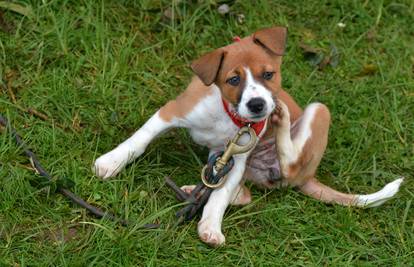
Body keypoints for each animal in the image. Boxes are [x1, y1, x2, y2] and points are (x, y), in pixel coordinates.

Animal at [92, 27, 402, 247]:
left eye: (269, 74)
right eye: (233, 80)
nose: (258, 105)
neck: (228, 114)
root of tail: (308, 178)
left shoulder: (238, 158)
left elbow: (219, 198)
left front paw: (210, 226)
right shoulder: (172, 112)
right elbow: (138, 140)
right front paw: (111, 162)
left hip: (317, 112)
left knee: (286, 164)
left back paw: (281, 119)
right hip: (234, 163)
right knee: (242, 193)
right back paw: (195, 190)